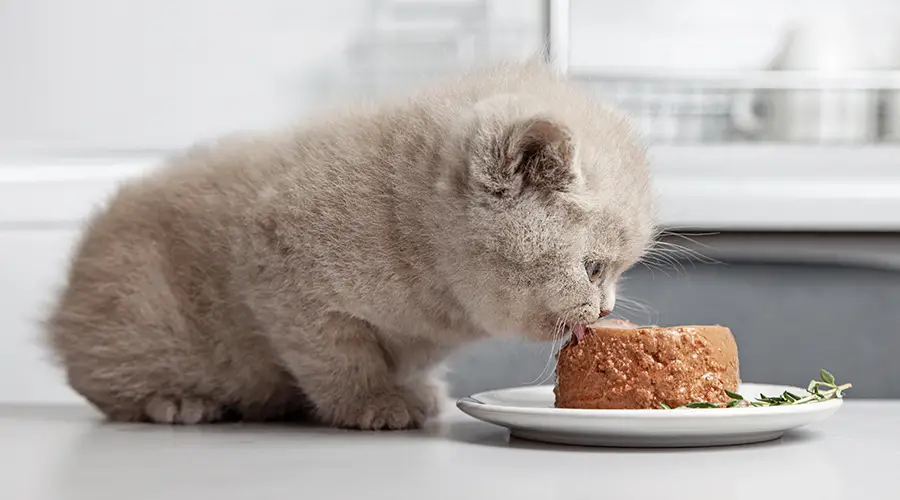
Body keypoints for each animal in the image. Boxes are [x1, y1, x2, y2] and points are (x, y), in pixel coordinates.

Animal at [42, 61, 652, 430]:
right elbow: (339, 356)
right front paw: (373, 404)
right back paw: (177, 401)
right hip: (134, 312)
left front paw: (414, 391)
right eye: (593, 268)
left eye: (615, 273)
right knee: (108, 386)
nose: (606, 310)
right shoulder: (280, 271)